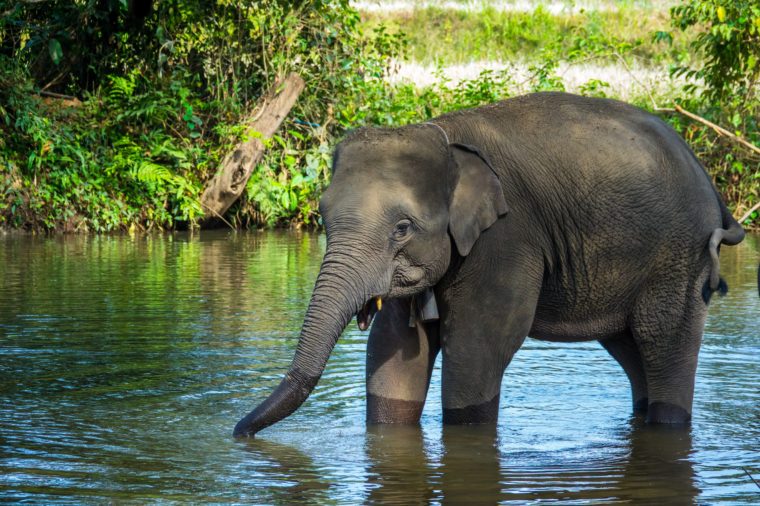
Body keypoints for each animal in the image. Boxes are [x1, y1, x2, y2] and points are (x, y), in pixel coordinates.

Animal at [235, 92, 744, 438]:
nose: (239, 432)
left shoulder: (507, 237)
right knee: (630, 347)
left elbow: (478, 347)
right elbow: (395, 350)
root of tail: (712, 186)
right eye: (321, 217)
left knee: (663, 342)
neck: (443, 136)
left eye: (402, 228)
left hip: (679, 258)